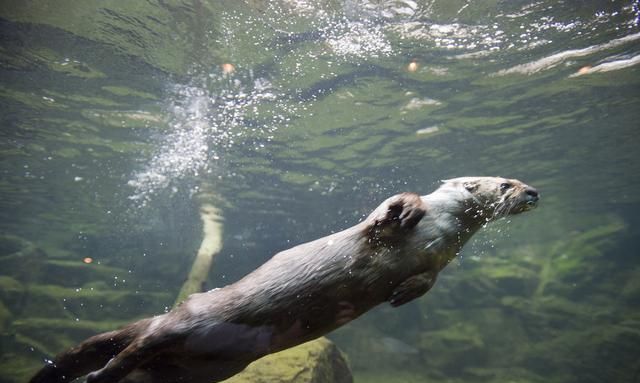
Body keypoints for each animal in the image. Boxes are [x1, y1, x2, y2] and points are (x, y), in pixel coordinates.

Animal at [30, 177, 540, 383]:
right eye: (506, 183)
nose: (534, 191)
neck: (444, 226)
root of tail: (169, 311)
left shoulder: (441, 259)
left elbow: (428, 279)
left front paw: (405, 293)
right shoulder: (391, 225)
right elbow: (388, 212)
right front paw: (404, 210)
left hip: (195, 370)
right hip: (187, 324)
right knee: (131, 350)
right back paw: (97, 373)